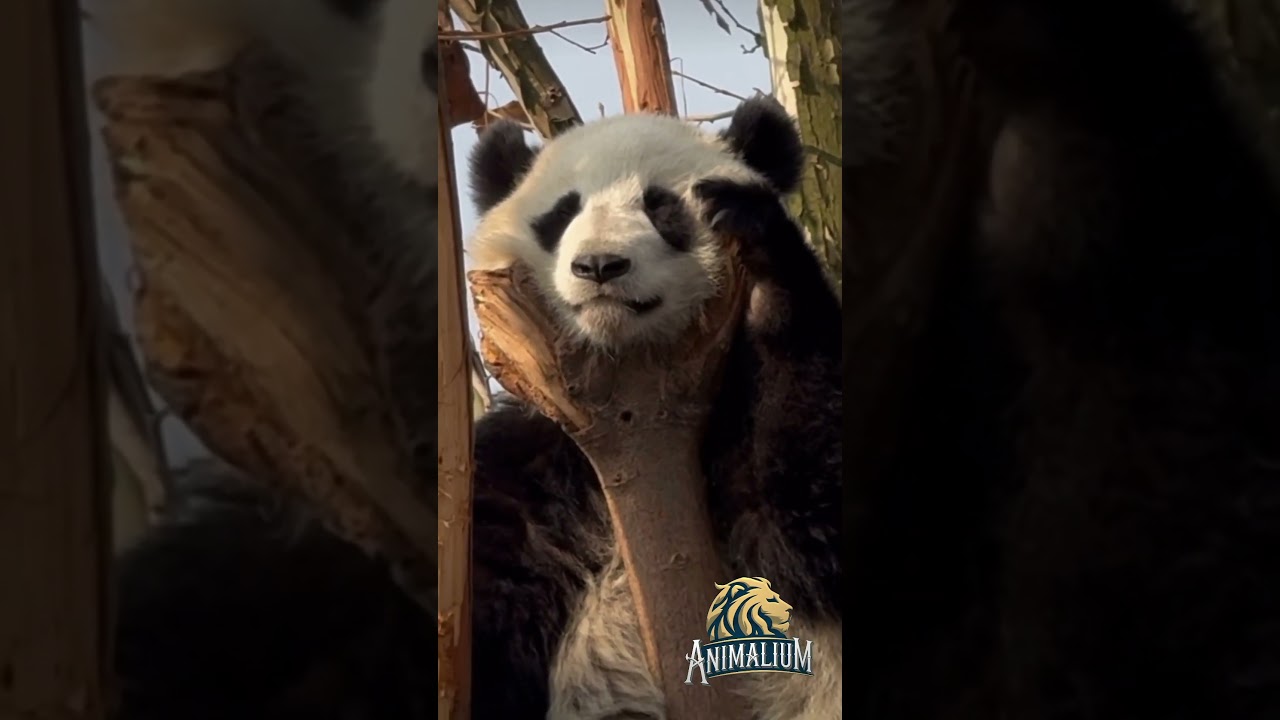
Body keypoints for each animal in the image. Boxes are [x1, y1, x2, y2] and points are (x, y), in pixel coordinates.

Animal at [463, 96, 842, 719]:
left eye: (661, 207)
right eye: (561, 213)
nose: (599, 266)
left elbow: (810, 526)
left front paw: (759, 243)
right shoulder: (535, 468)